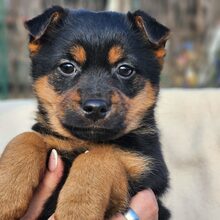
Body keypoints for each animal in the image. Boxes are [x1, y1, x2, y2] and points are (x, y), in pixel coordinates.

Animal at [0, 5, 170, 220]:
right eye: (67, 67)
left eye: (125, 69)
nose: (95, 107)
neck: (86, 140)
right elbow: (26, 137)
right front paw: (6, 195)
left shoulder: (144, 170)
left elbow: (100, 156)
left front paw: (76, 210)